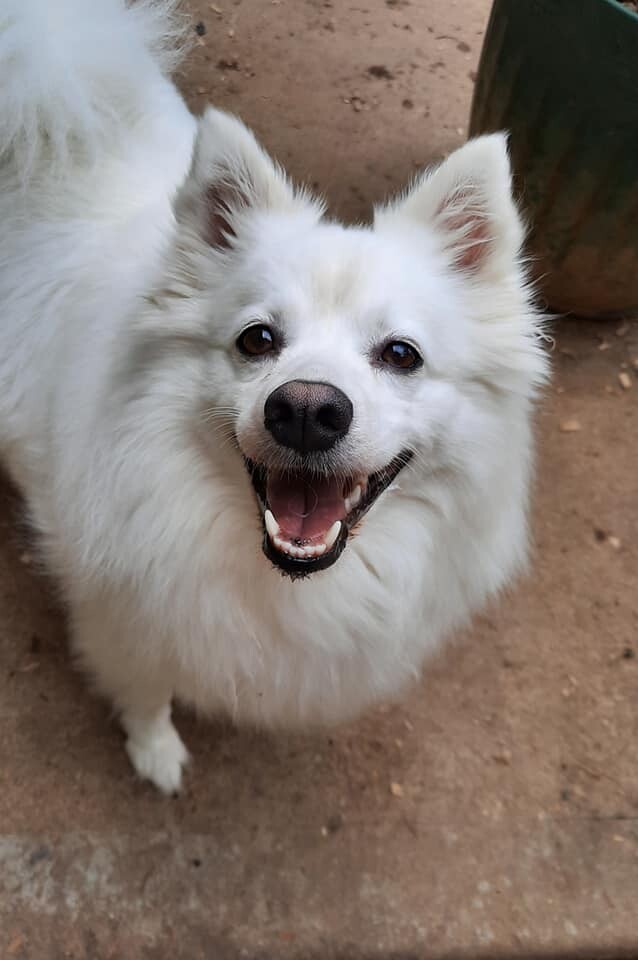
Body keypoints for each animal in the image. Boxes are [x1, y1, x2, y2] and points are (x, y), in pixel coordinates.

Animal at [0, 0, 552, 792]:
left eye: (401, 355)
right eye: (257, 340)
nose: (307, 411)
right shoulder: (120, 618)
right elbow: (144, 692)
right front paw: (156, 753)